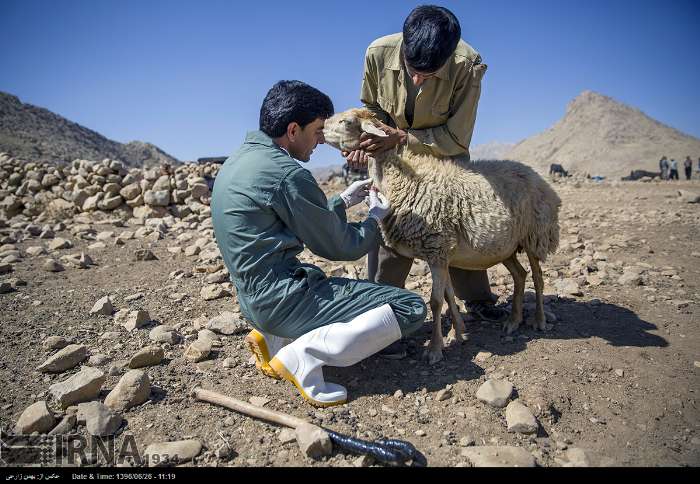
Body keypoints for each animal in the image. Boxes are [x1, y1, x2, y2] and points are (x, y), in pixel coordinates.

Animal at [324, 108, 564, 364]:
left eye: (347, 122)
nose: (321, 127)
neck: (401, 179)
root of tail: (539, 178)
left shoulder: (437, 249)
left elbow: (436, 301)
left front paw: (435, 348)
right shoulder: (442, 252)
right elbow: (449, 296)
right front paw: (458, 333)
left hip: (534, 235)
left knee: (537, 277)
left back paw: (539, 320)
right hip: (505, 245)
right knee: (520, 275)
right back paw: (513, 321)